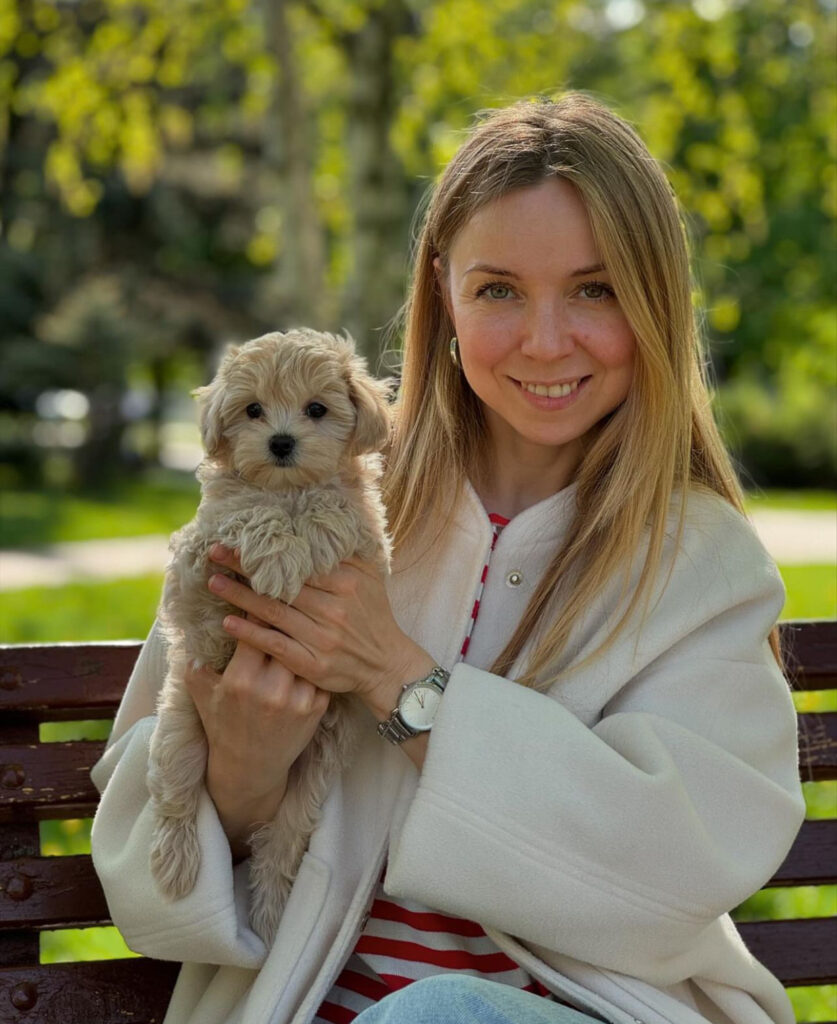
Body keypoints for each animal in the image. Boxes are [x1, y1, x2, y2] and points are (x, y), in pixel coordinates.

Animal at [146, 327, 391, 942]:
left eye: (317, 409)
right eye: (253, 410)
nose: (281, 442)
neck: (286, 488)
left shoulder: (371, 543)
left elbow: (338, 506)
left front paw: (314, 535)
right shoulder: (198, 555)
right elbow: (250, 510)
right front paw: (280, 555)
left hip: (313, 773)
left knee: (282, 843)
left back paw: (272, 909)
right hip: (181, 725)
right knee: (178, 796)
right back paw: (177, 867)